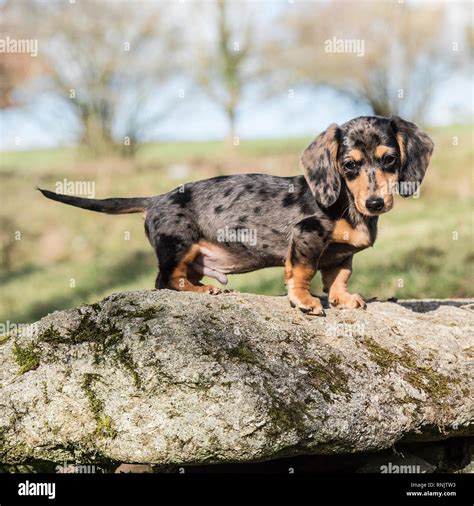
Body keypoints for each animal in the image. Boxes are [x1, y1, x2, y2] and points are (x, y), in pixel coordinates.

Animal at [40, 116, 434, 318]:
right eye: (349, 165)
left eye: (389, 160)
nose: (375, 203)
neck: (347, 203)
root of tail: (156, 199)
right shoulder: (306, 236)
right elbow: (303, 272)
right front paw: (304, 301)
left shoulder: (342, 253)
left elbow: (339, 276)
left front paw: (343, 298)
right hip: (179, 245)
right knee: (166, 281)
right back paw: (204, 290)